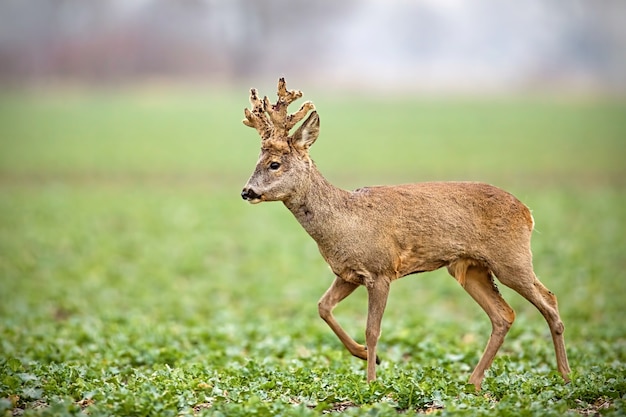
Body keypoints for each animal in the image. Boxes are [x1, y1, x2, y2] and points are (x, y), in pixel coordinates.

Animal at [240, 78, 572, 390]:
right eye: (256, 162)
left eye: (274, 164)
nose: (247, 192)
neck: (343, 222)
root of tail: (527, 212)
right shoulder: (348, 273)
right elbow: (323, 307)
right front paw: (364, 355)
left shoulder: (380, 270)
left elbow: (372, 329)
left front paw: (371, 381)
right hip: (470, 267)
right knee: (504, 315)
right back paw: (474, 382)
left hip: (511, 258)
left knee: (549, 300)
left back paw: (565, 375)